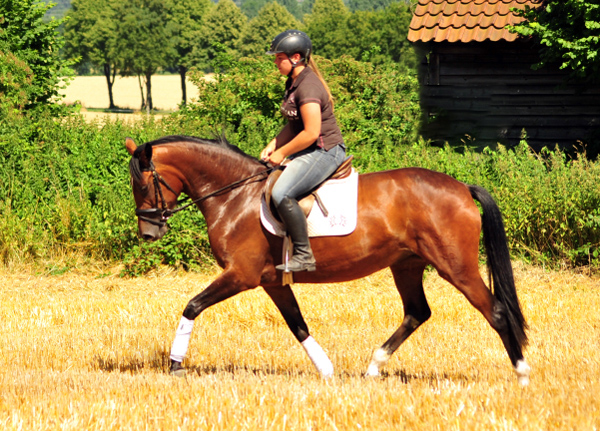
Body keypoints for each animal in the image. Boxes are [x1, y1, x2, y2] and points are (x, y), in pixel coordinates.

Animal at [125, 135, 528, 384]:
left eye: (142, 184)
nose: (148, 232)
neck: (236, 196)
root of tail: (462, 187)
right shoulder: (273, 282)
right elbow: (298, 325)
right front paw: (327, 370)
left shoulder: (241, 275)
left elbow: (192, 306)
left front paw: (175, 364)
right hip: (407, 264)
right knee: (417, 312)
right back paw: (373, 367)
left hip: (456, 266)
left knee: (495, 311)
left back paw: (522, 373)